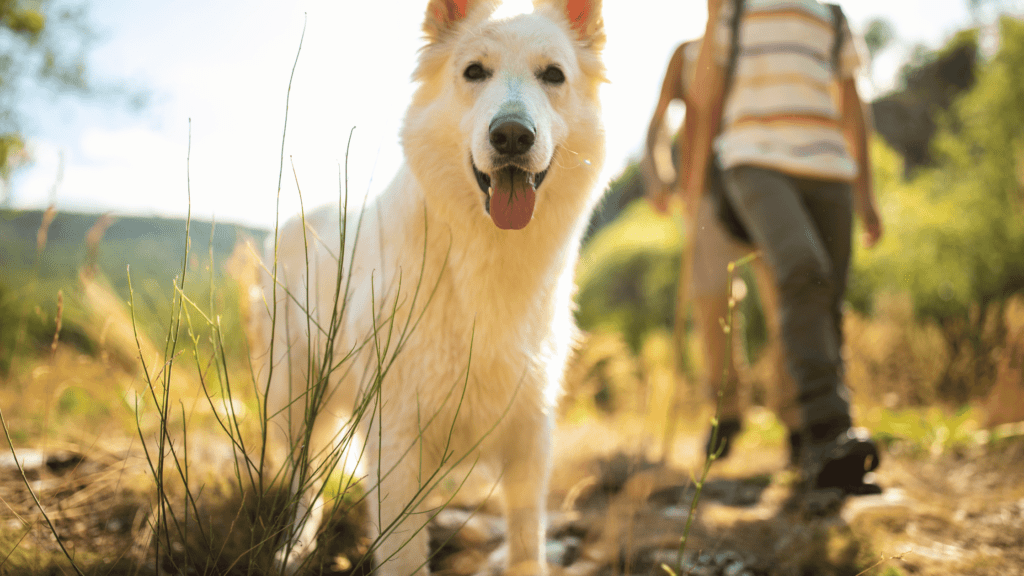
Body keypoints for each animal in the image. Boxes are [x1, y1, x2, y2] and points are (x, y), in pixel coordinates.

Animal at [260, 2, 602, 569]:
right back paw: (295, 545)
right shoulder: (395, 444)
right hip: (295, 400)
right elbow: (402, 557)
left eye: (553, 75)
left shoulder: (531, 438)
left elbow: (526, 544)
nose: (512, 136)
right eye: (474, 71)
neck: (487, 256)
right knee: (306, 481)